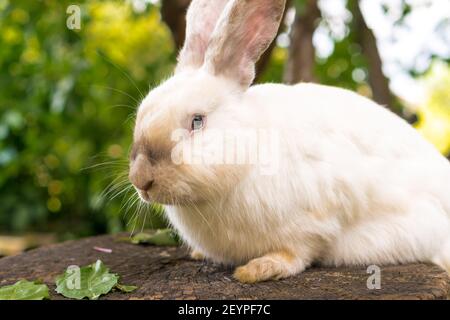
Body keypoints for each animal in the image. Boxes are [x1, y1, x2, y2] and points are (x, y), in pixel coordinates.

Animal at [129, 0, 450, 282]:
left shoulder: (316, 220)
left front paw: (258, 270)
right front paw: (199, 254)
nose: (141, 180)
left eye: (197, 121)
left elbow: (297, 253)